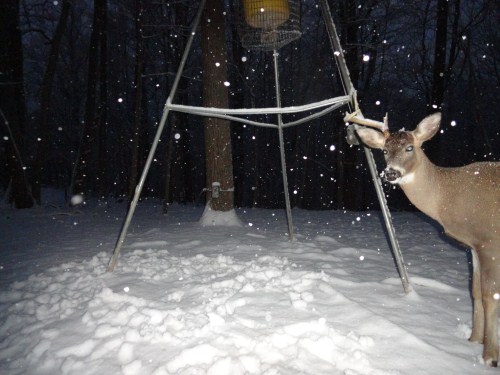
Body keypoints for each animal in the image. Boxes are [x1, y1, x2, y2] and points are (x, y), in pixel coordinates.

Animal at [348, 112, 500, 368]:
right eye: (385, 150)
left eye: (410, 147)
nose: (390, 173)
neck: (448, 196)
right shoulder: (473, 246)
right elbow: (475, 291)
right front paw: (473, 340)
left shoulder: (489, 240)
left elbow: (490, 296)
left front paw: (490, 356)